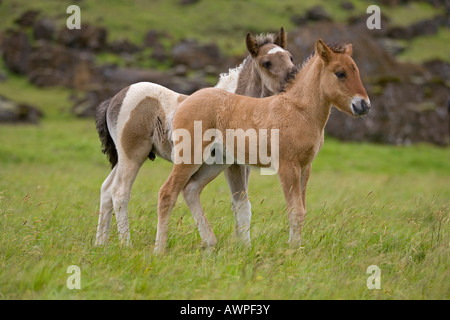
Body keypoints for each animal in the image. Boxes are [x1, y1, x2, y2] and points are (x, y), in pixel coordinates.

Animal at [156, 39, 370, 252]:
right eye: (340, 73)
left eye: (356, 71)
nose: (363, 105)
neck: (298, 110)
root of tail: (184, 103)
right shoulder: (287, 166)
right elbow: (295, 211)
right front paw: (293, 251)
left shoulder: (305, 167)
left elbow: (302, 209)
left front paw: (298, 248)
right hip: (190, 156)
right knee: (168, 193)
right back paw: (159, 250)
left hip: (216, 162)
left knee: (191, 190)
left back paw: (210, 243)